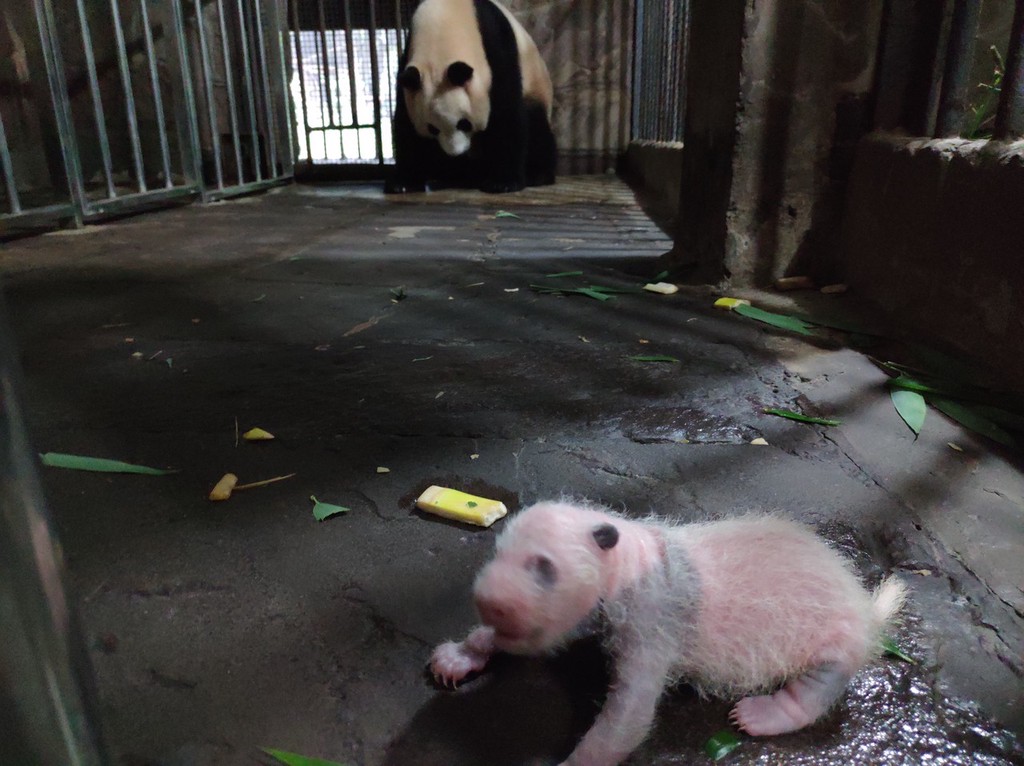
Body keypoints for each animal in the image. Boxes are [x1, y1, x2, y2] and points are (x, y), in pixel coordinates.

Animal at [385, 0, 561, 194]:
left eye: (464, 123)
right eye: (432, 128)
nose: (455, 153)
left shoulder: (496, 46)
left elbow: (506, 111)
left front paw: (503, 182)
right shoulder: (408, 68)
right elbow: (406, 124)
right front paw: (403, 183)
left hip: (536, 88)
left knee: (536, 126)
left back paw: (536, 175)